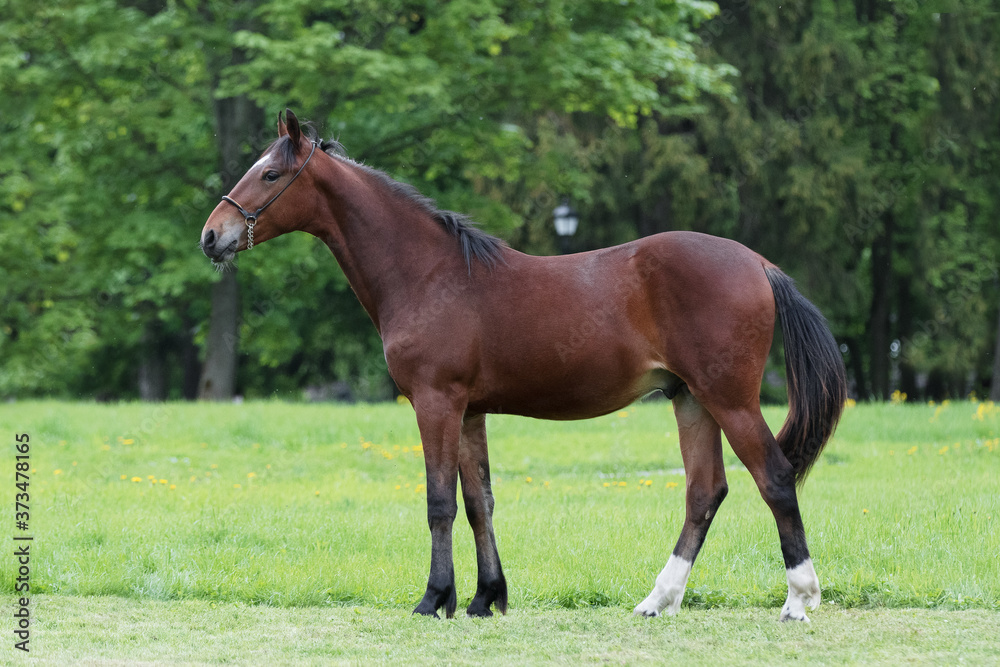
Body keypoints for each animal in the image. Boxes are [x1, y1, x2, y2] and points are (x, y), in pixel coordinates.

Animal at [201, 108, 844, 620]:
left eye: (270, 174)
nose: (212, 236)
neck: (430, 274)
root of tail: (758, 263)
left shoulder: (436, 402)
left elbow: (439, 503)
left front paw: (434, 599)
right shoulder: (469, 411)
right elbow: (478, 502)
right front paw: (485, 598)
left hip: (728, 399)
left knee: (775, 477)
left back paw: (799, 599)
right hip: (690, 400)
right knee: (704, 492)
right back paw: (658, 600)